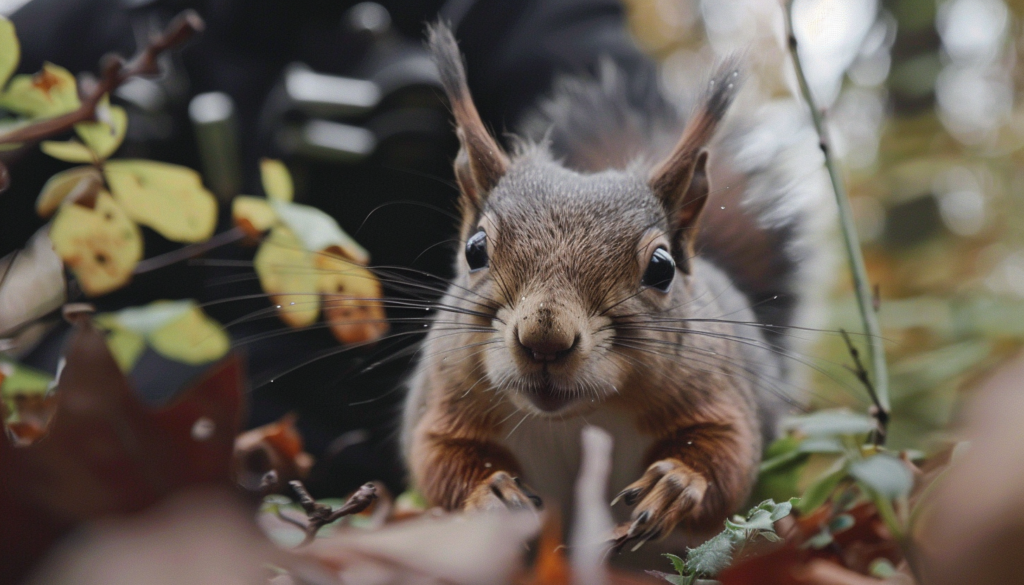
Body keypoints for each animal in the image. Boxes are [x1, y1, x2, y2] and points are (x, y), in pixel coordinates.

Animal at [401, 22, 831, 553]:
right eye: (475, 250)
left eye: (662, 269)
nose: (545, 342)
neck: (579, 416)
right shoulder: (443, 401)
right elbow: (436, 456)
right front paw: (488, 492)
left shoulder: (720, 393)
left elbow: (729, 453)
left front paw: (676, 483)